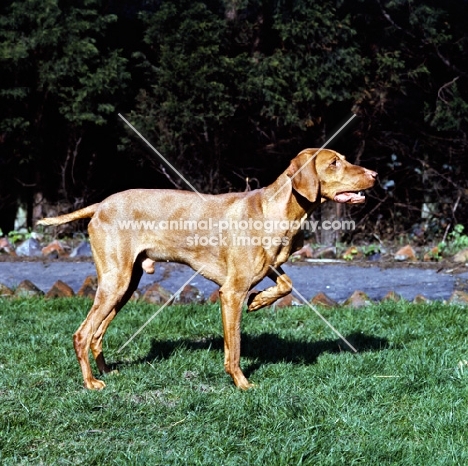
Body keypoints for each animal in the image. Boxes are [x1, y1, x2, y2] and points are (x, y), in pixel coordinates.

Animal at [39, 149, 376, 390]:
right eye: (334, 162)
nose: (375, 174)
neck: (277, 209)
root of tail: (100, 205)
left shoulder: (265, 268)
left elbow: (287, 283)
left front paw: (259, 300)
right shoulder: (232, 291)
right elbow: (234, 347)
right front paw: (242, 383)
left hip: (126, 283)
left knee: (96, 334)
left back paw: (108, 371)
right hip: (116, 282)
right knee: (82, 334)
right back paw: (90, 382)